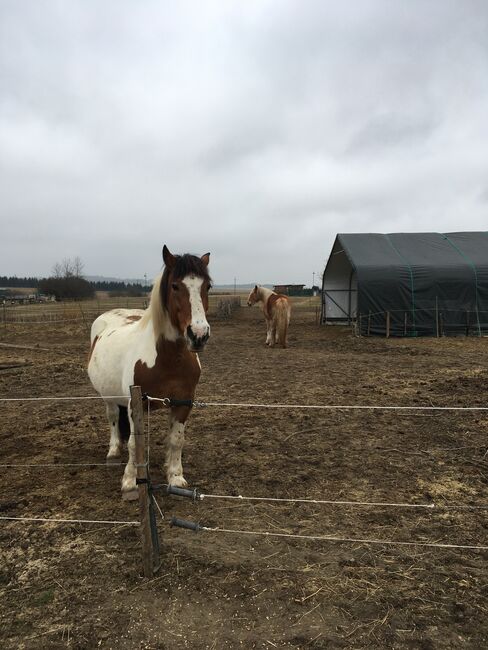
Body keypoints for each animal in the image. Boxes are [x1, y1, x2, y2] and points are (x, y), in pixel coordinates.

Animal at [88, 246, 211, 498]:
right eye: (175, 285)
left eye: (207, 287)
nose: (199, 335)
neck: (169, 359)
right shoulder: (136, 402)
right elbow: (134, 443)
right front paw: (130, 481)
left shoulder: (184, 402)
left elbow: (176, 439)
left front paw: (175, 477)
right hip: (109, 397)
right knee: (113, 418)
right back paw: (113, 451)